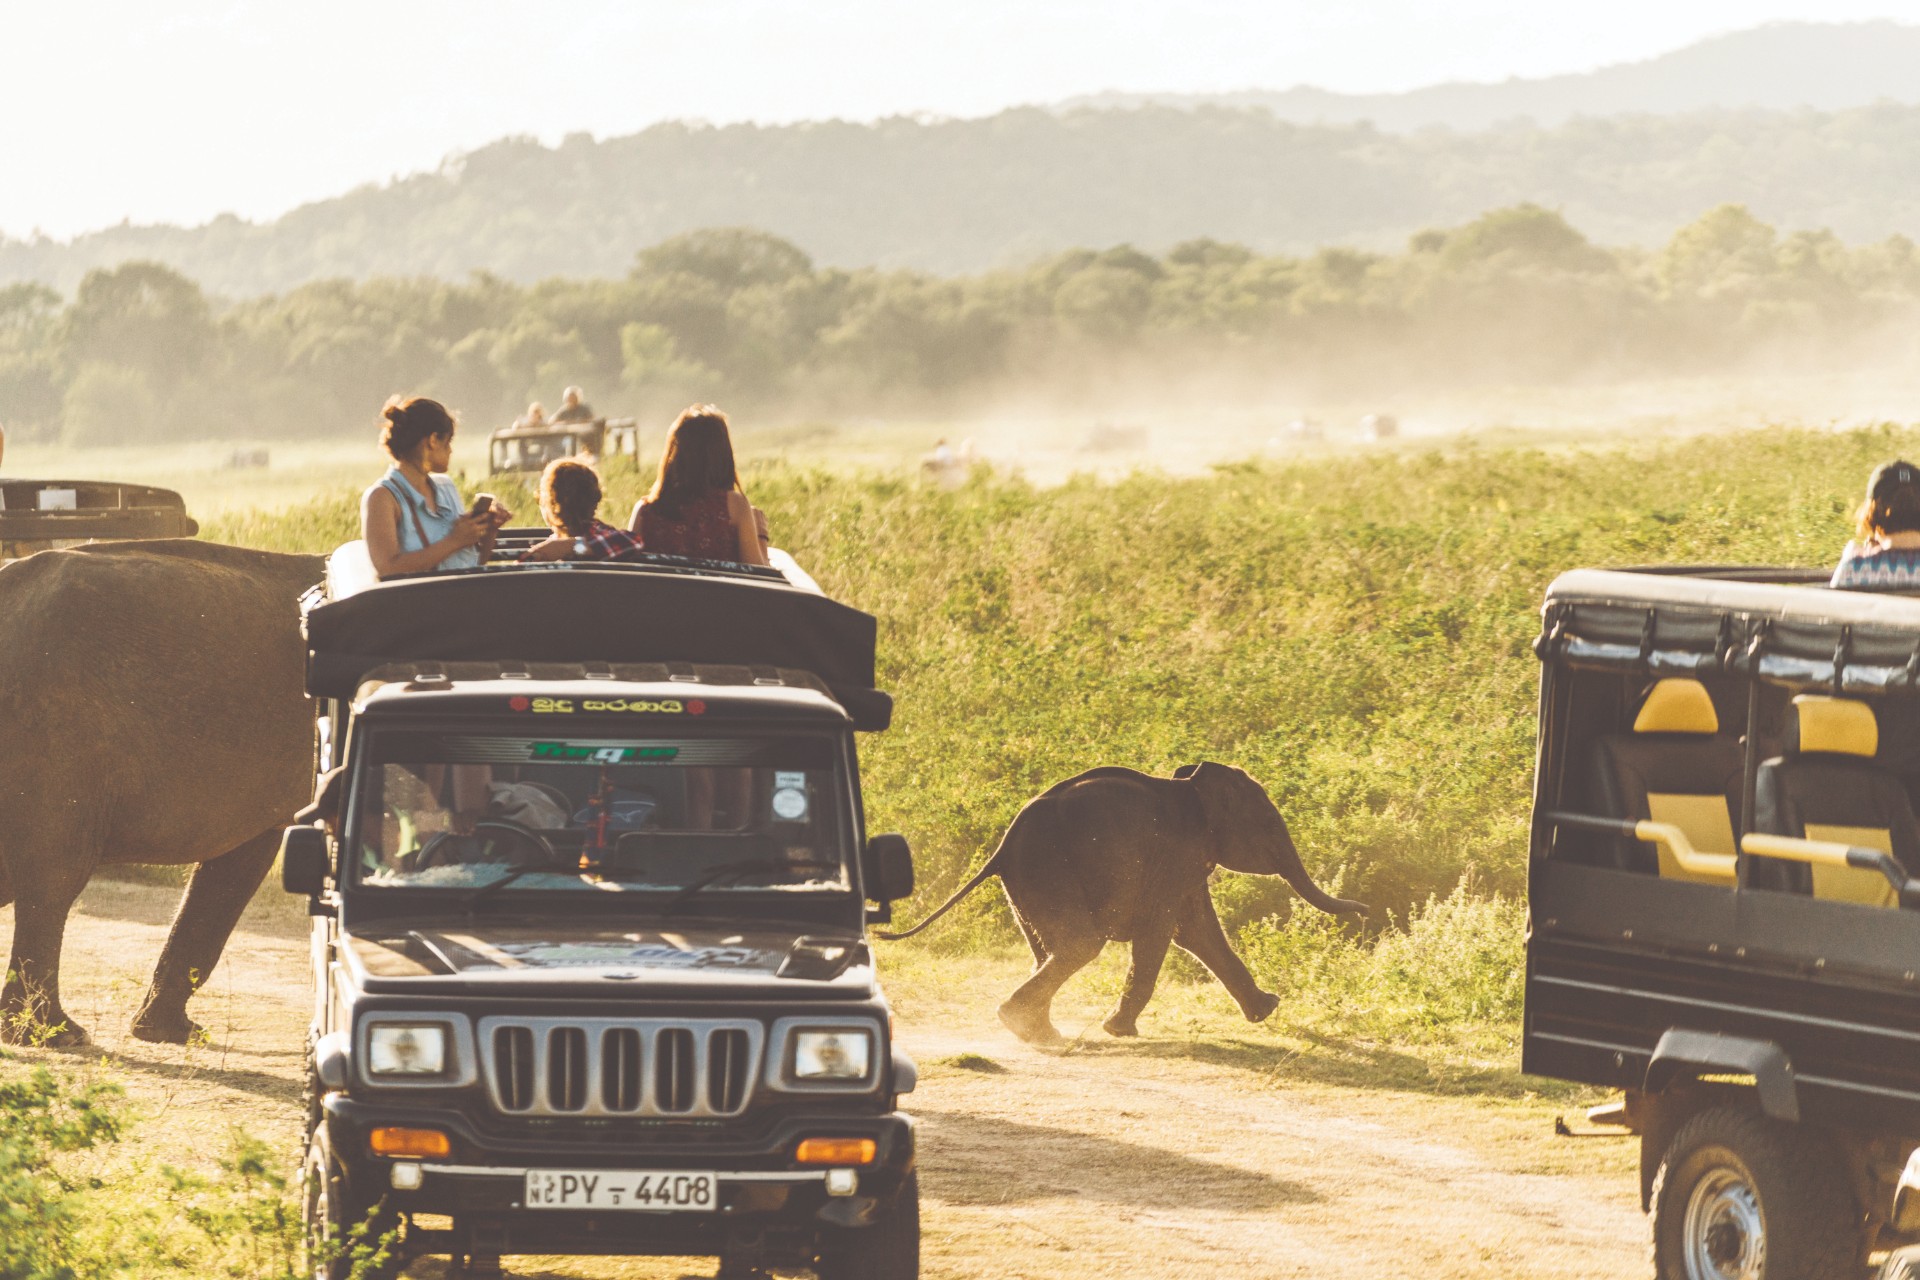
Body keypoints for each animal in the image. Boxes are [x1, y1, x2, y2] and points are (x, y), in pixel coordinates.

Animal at [883, 767, 1367, 1043]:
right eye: (1268, 822)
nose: (1365, 912)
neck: (1192, 787)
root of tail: (1001, 848)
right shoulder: (1175, 857)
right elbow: (1165, 934)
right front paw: (1119, 1032)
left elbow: (1197, 932)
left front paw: (1267, 1010)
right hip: (1046, 866)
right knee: (1081, 945)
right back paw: (1024, 1026)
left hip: (1027, 880)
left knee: (1051, 949)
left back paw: (1036, 1032)